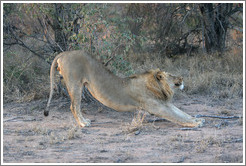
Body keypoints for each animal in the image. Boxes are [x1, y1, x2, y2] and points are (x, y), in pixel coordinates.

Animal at [43, 50, 204, 127]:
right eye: (171, 75)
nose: (182, 78)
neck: (157, 86)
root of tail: (64, 53)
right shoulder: (157, 107)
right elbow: (177, 116)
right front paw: (195, 123)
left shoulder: (165, 103)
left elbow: (182, 113)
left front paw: (197, 119)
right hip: (75, 84)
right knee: (74, 106)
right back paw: (83, 123)